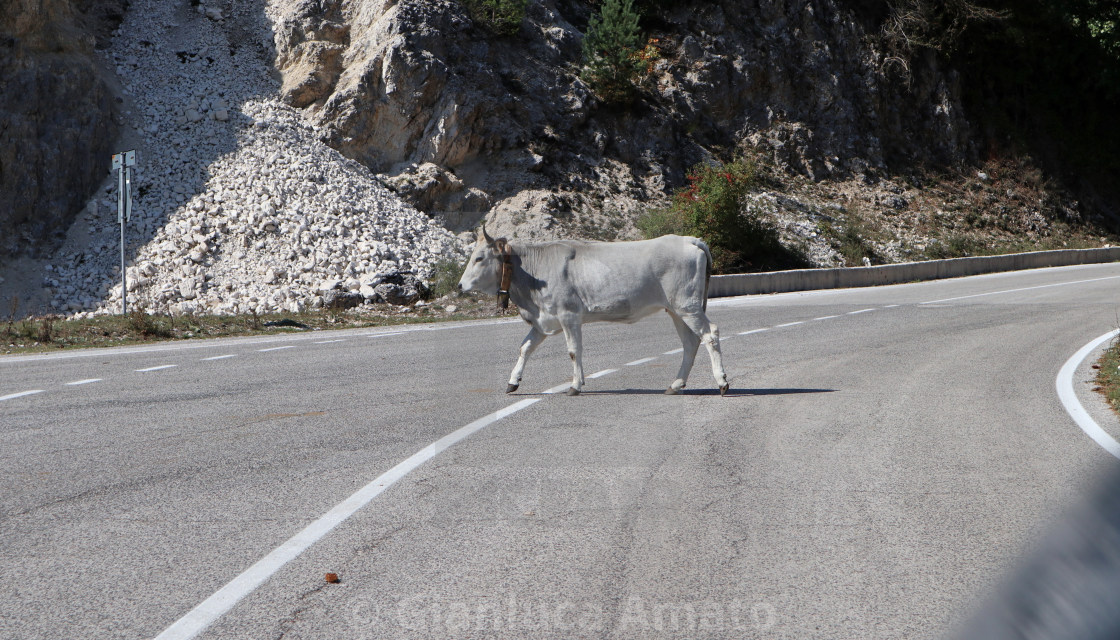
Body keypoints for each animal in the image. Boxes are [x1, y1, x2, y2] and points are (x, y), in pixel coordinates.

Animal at [459, 225, 730, 396]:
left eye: (479, 258)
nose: (460, 285)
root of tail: (690, 240)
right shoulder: (543, 321)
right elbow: (524, 348)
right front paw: (513, 381)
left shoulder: (568, 315)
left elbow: (573, 350)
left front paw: (575, 385)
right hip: (675, 309)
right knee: (690, 343)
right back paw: (675, 384)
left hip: (687, 305)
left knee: (710, 334)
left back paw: (722, 382)